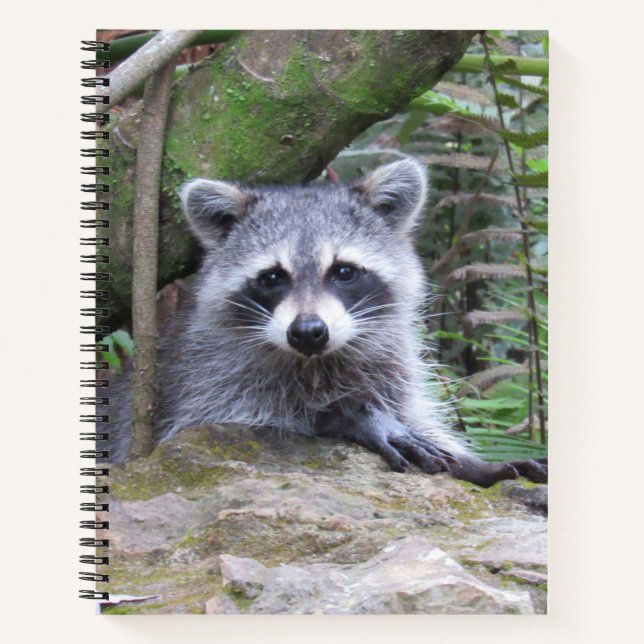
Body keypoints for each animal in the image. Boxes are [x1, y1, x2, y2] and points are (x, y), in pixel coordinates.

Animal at [105, 159, 546, 487]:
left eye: (344, 271)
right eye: (272, 278)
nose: (308, 332)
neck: (317, 360)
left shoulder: (390, 364)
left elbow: (412, 412)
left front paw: (469, 461)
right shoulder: (202, 378)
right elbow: (234, 420)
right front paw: (352, 416)